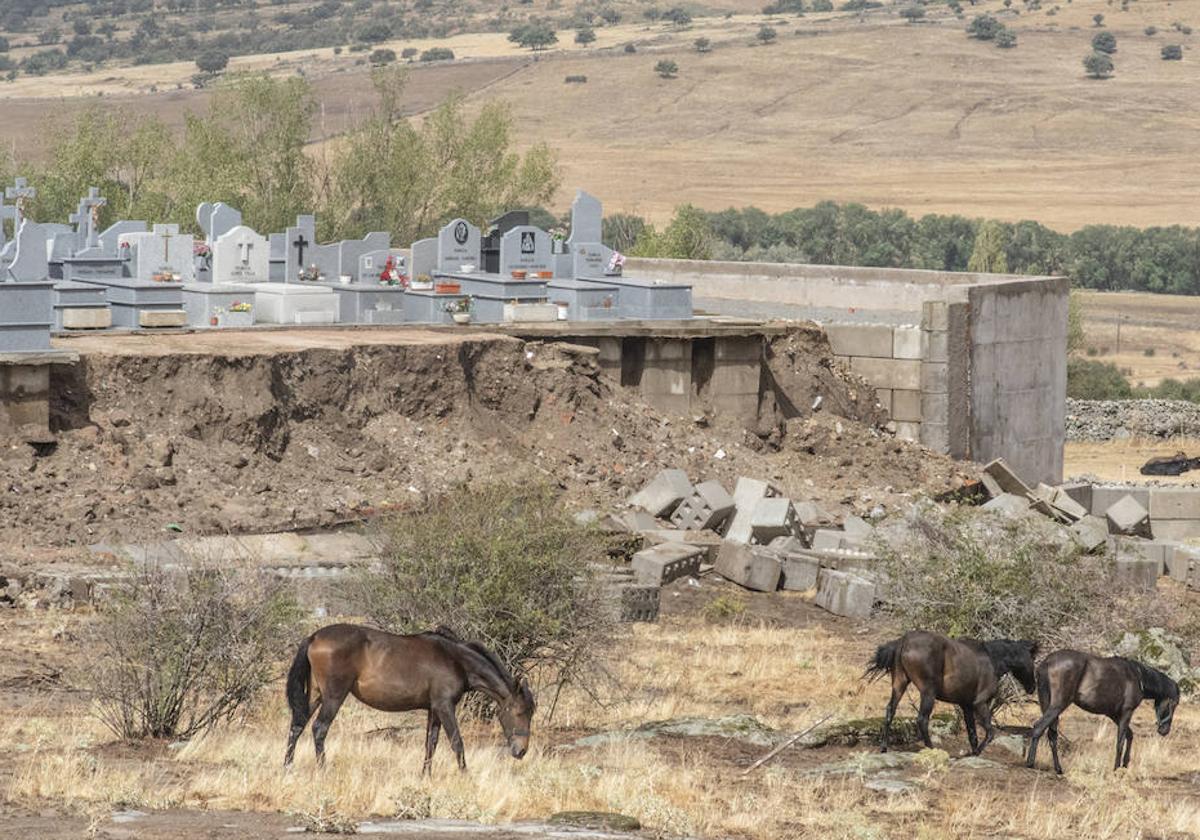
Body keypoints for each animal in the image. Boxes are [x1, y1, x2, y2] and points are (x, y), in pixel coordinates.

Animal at [280, 624, 535, 772]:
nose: (521, 751)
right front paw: (465, 775)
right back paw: (323, 770)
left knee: (297, 726)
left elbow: (431, 743)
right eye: (520, 712)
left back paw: (287, 767)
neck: (456, 660)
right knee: (319, 728)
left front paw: (426, 776)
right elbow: (456, 742)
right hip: (334, 696)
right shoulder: (445, 707)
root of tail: (314, 637)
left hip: (316, 695)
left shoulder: (434, 709)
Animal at [864, 628, 1041, 753]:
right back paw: (931, 748)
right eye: (1033, 660)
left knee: (890, 711)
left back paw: (884, 747)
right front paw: (977, 752)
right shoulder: (980, 703)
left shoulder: (966, 706)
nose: (1032, 687)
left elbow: (972, 734)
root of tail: (903, 641)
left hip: (899, 684)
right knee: (922, 719)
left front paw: (973, 752)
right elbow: (990, 732)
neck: (992, 660)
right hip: (928, 692)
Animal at [1022, 648, 1180, 772]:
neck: (1138, 676)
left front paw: (1125, 764)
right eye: (1173, 704)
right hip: (1058, 706)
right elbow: (1120, 742)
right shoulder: (1126, 713)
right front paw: (1116, 768)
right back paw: (1030, 763)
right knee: (1039, 728)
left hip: (1048, 706)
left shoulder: (1114, 715)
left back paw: (1058, 769)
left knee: (1052, 735)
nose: (1165, 730)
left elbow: (1129, 735)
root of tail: (1047, 662)